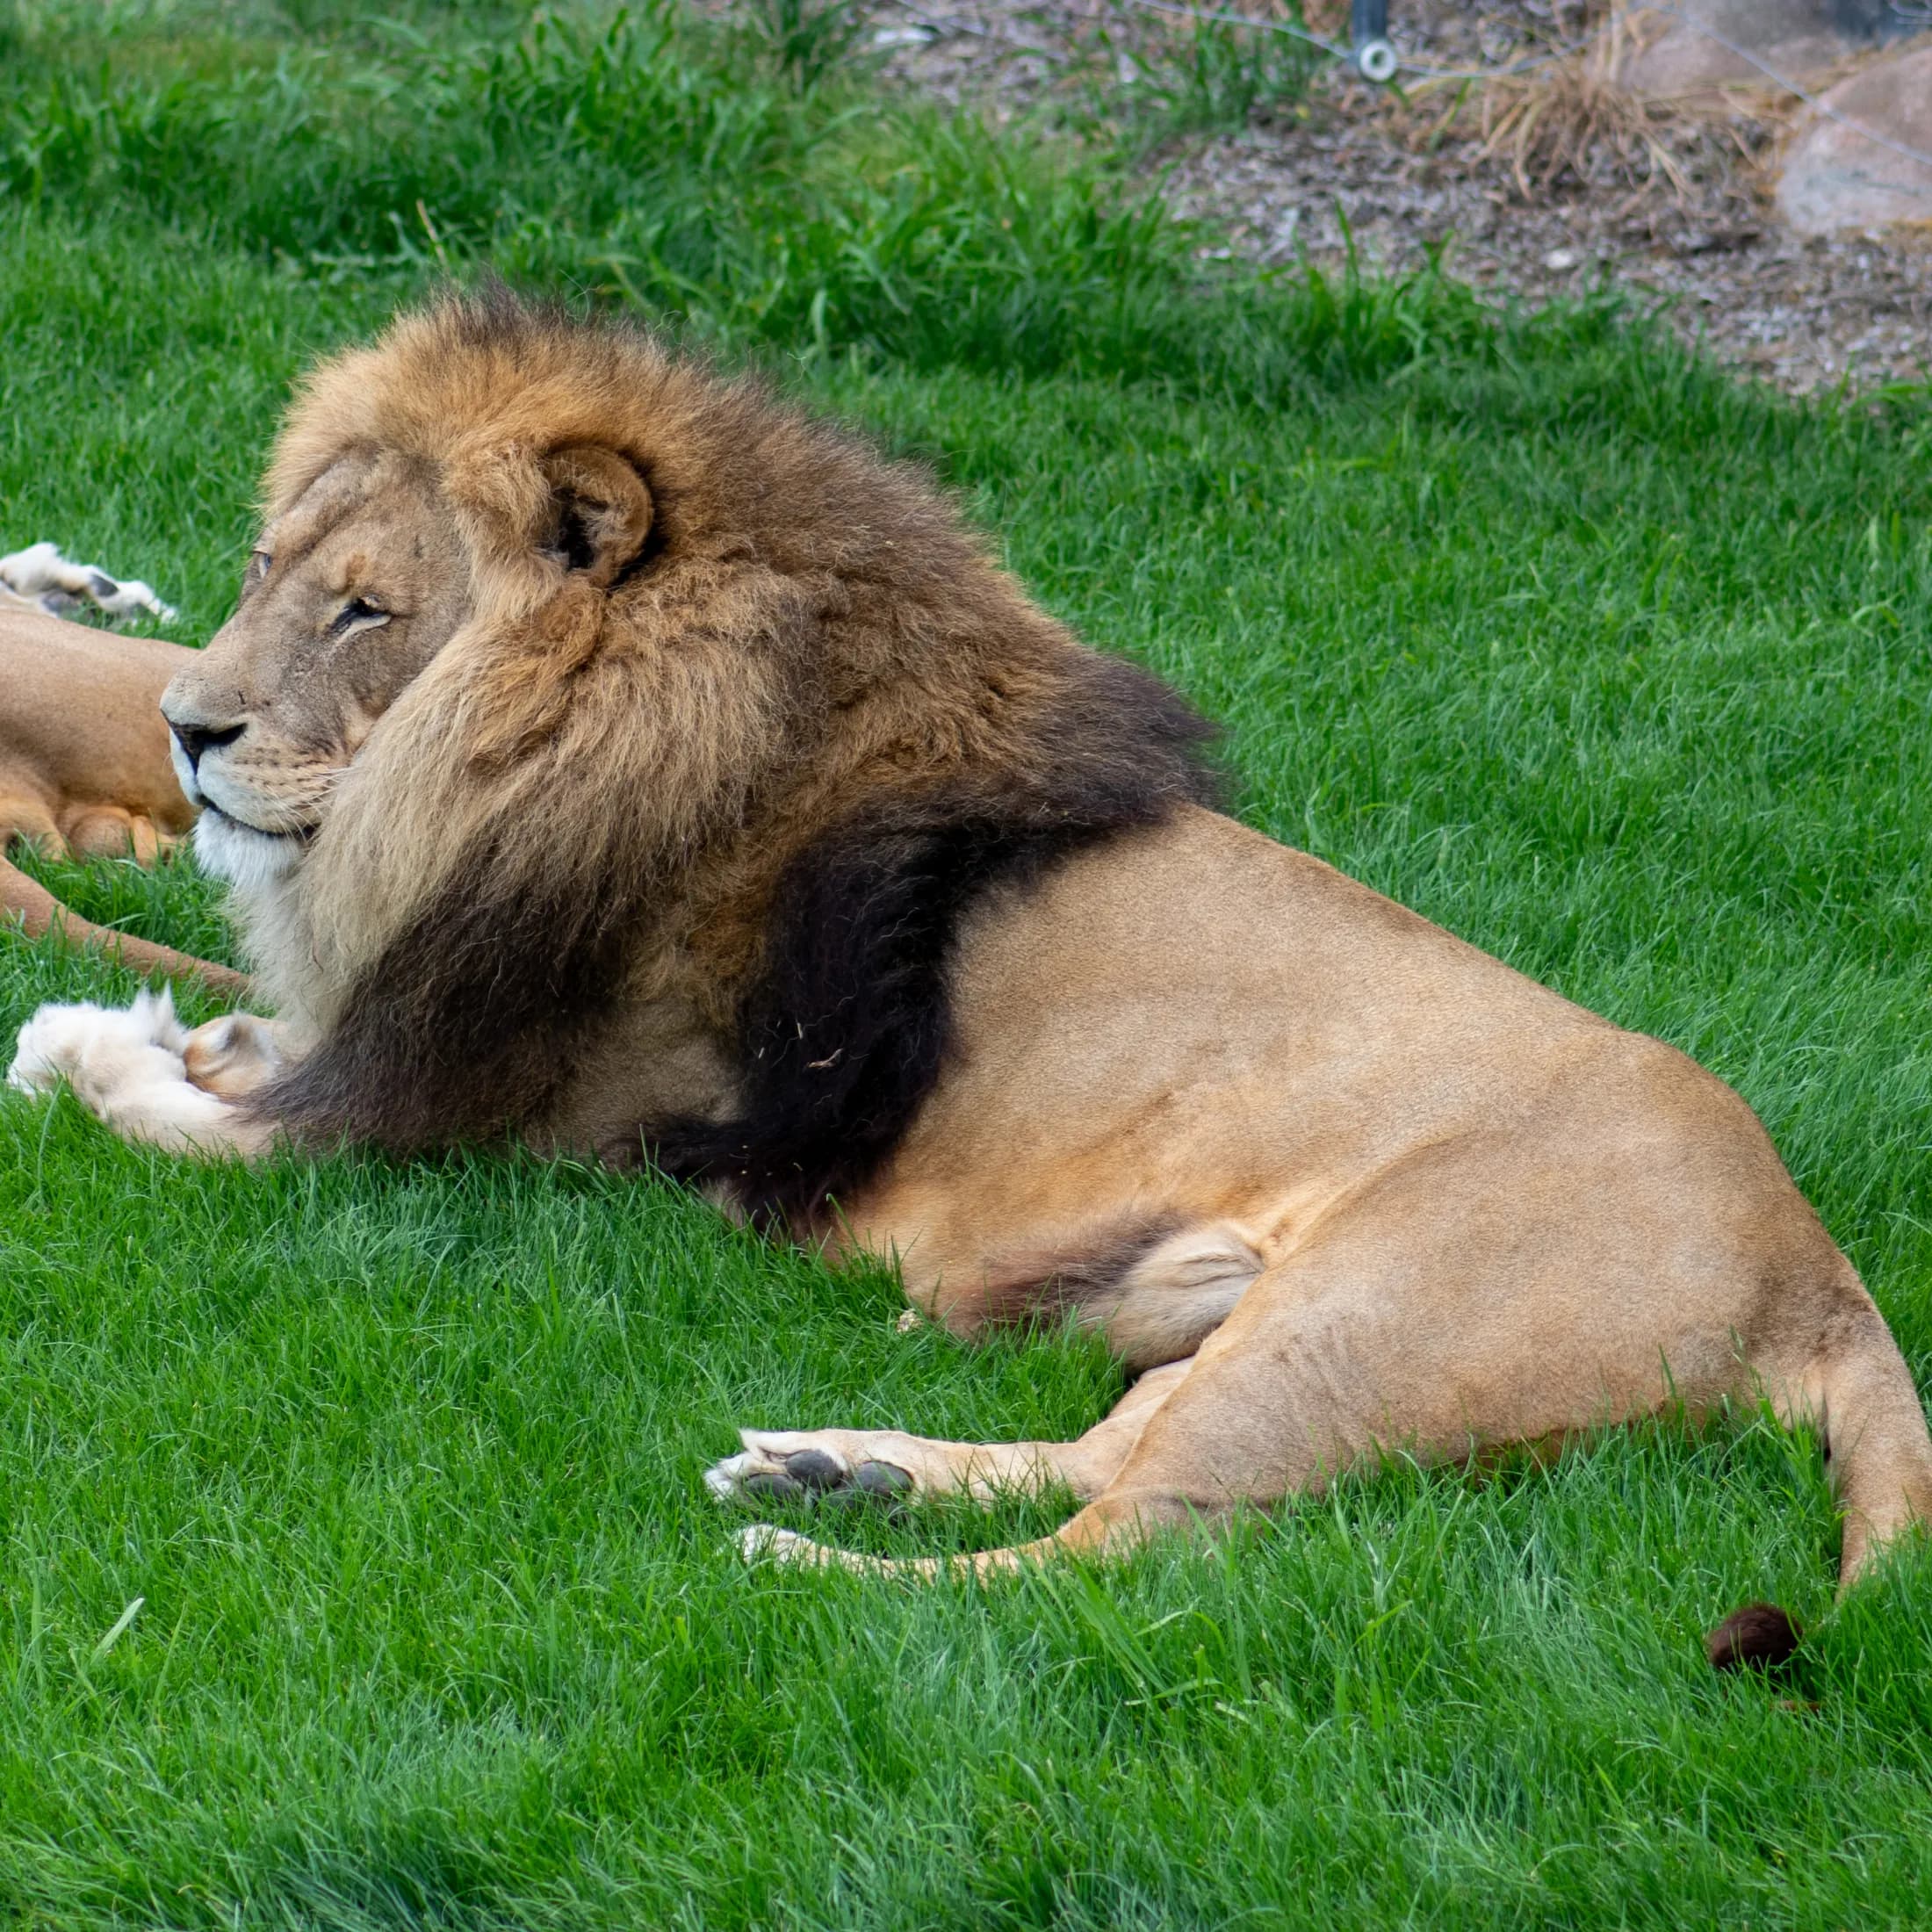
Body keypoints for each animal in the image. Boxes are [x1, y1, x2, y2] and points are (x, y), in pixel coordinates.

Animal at [10, 291, 1928, 1666]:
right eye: (265, 575)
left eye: (364, 612)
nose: (183, 727)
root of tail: (1819, 1264)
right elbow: (248, 1031)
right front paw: (188, 1018)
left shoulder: (481, 1128)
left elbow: (195, 1122)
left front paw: (88, 1049)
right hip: (1245, 1329)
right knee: (1104, 1456)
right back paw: (844, 1462)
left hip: (1375, 1322)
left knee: (1125, 1557)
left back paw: (796, 1552)